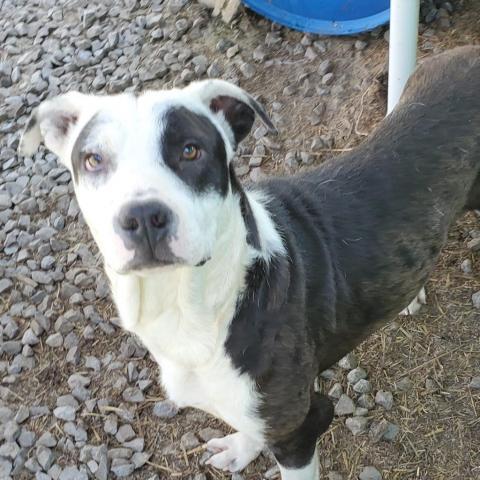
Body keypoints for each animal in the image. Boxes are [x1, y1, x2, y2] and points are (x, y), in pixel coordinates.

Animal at [18, 46, 480, 480]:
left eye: (191, 151)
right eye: (93, 159)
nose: (143, 216)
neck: (193, 304)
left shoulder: (302, 426)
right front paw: (242, 447)